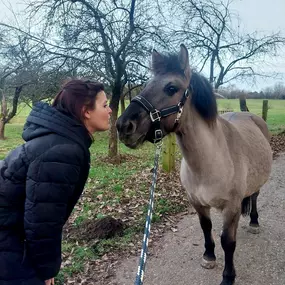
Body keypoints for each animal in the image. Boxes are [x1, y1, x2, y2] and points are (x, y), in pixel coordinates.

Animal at [115, 44, 270, 284]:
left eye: (171, 88)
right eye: (147, 84)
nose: (124, 126)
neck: (211, 161)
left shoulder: (231, 207)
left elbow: (228, 241)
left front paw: (228, 276)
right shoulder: (197, 202)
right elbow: (206, 228)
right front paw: (209, 256)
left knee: (254, 196)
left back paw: (254, 222)